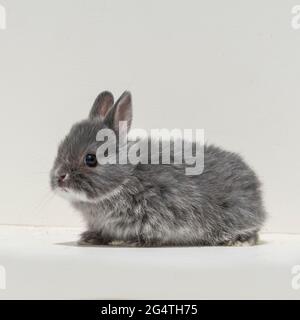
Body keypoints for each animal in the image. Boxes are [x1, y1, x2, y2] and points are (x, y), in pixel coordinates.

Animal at [50, 91, 266, 246]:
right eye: (59, 150)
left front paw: (129, 242)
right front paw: (90, 237)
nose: (59, 178)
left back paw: (239, 241)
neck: (128, 176)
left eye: (90, 159)